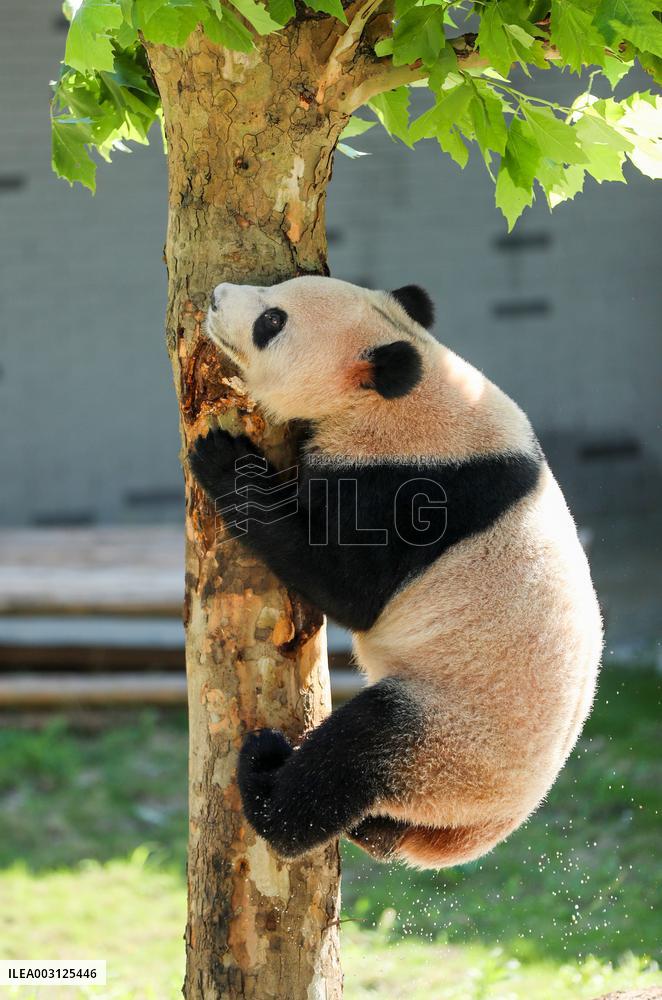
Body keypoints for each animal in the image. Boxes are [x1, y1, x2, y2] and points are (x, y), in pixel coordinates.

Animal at [190, 275, 603, 869]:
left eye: (272, 321)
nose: (218, 296)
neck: (410, 391)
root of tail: (483, 830)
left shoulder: (410, 491)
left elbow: (347, 588)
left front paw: (225, 461)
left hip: (448, 740)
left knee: (356, 751)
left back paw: (266, 781)